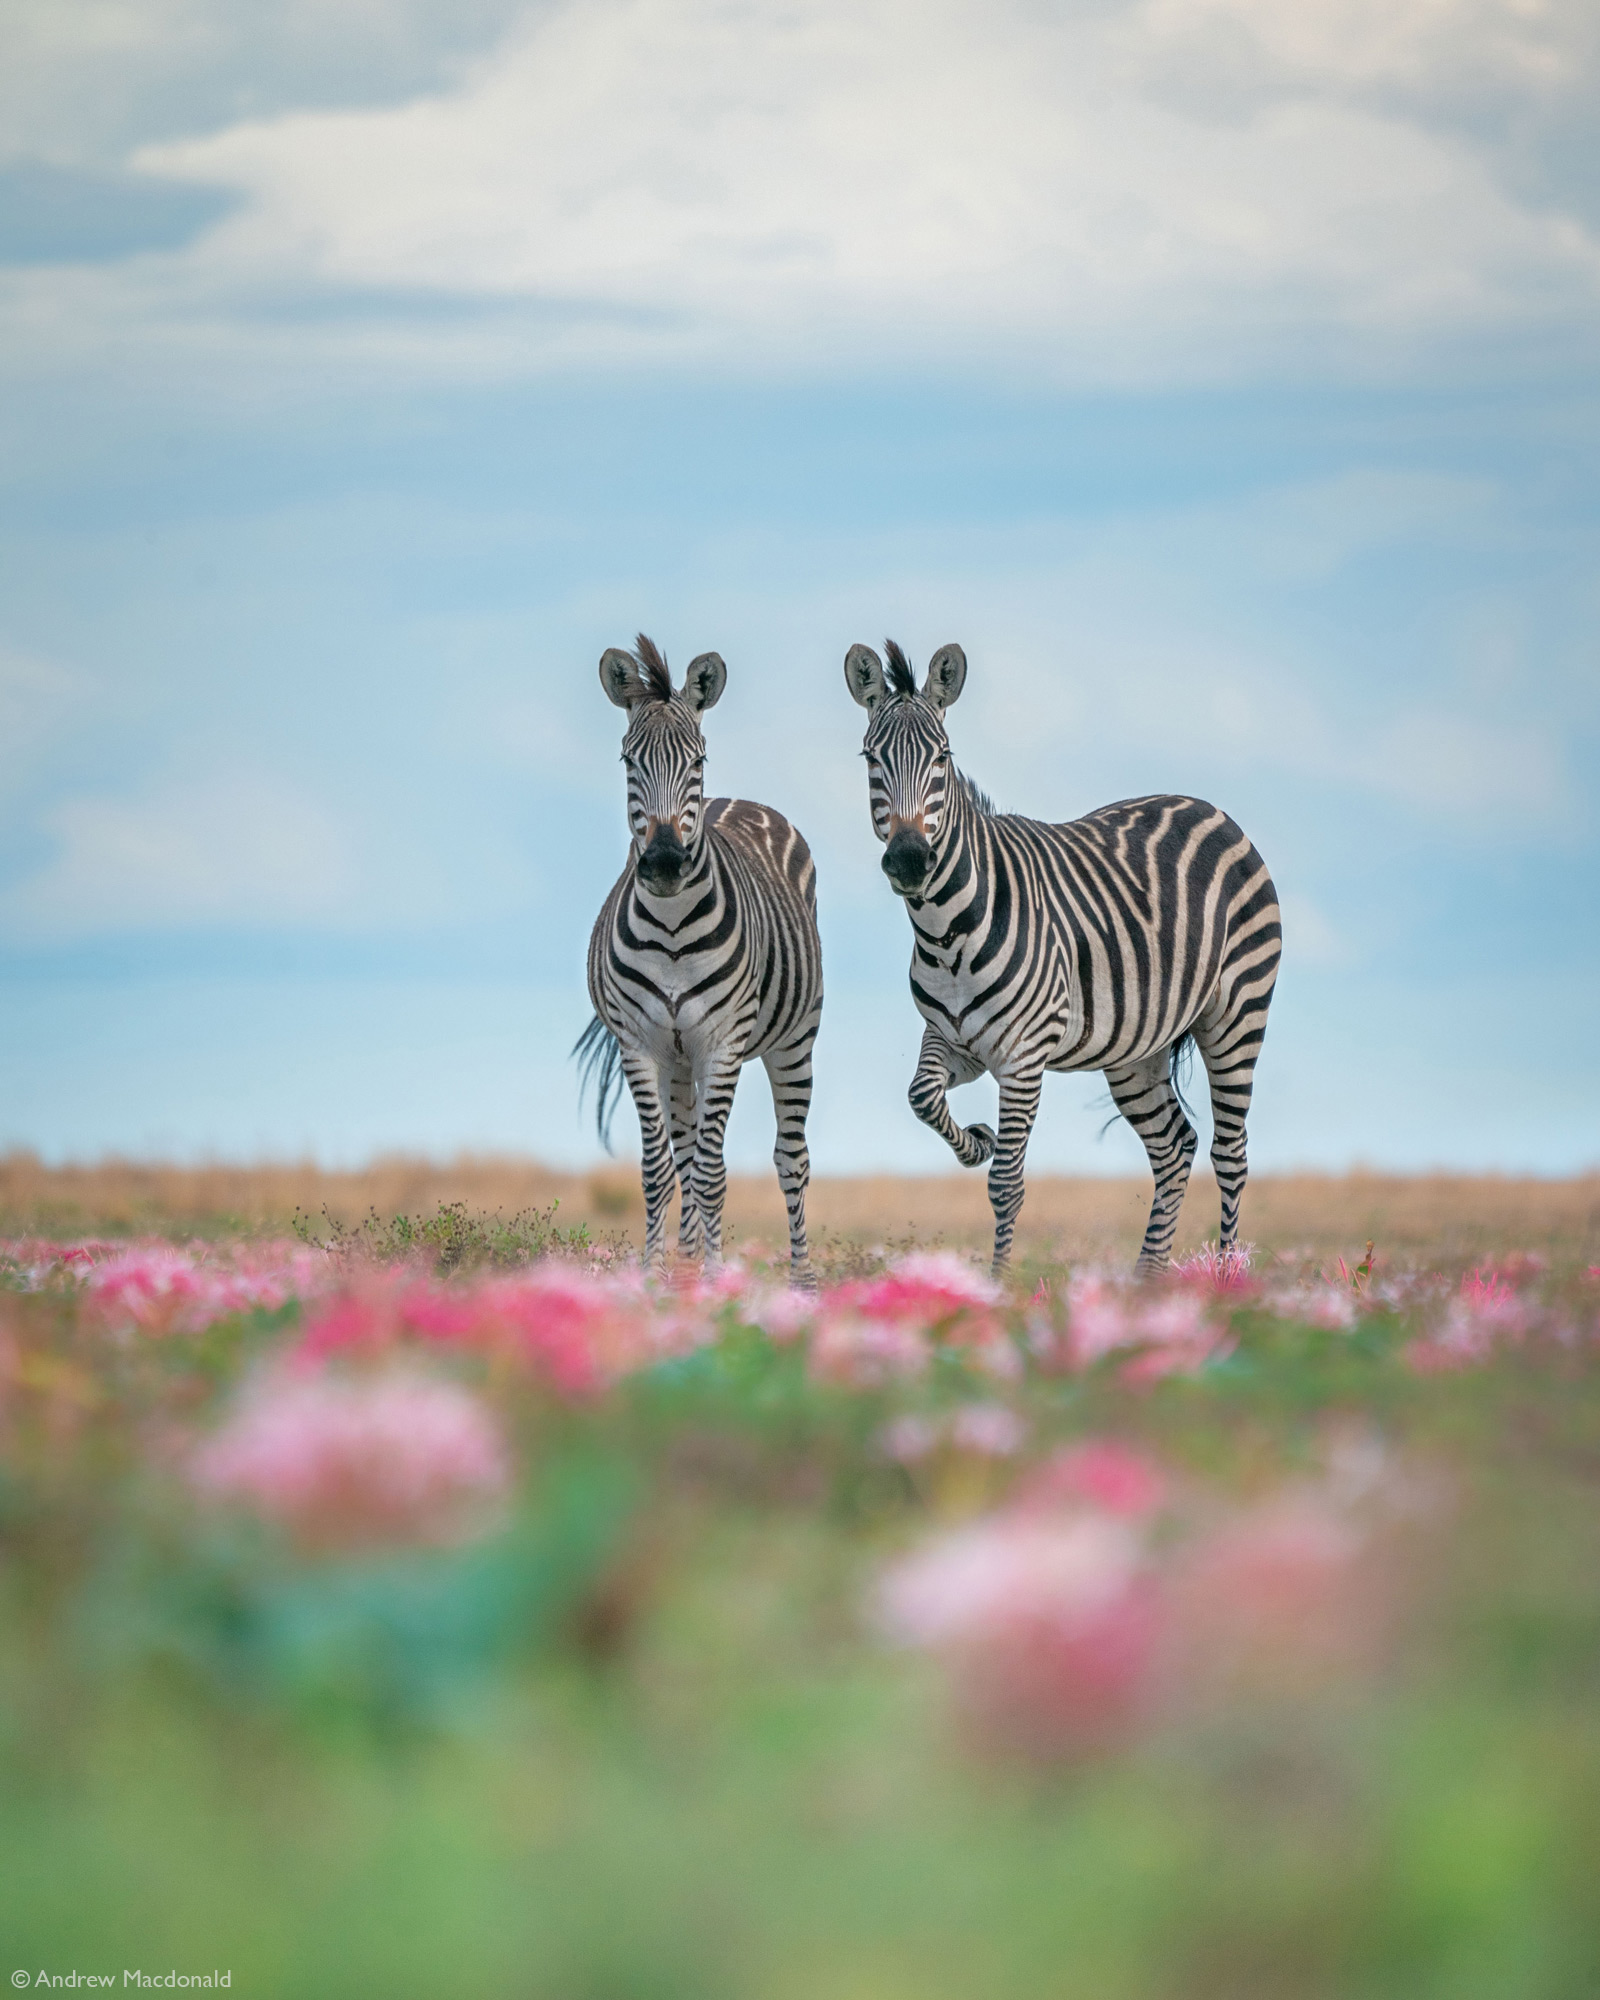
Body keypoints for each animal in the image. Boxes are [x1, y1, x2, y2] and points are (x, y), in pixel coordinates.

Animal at [580, 636, 824, 1280]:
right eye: (628, 761)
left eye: (698, 760)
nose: (665, 861)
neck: (671, 930)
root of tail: (736, 799)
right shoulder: (639, 1046)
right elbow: (660, 1171)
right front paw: (656, 1278)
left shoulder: (722, 1043)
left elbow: (713, 1173)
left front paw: (715, 1283)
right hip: (677, 1058)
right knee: (686, 1155)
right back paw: (687, 1261)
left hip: (794, 1040)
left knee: (791, 1159)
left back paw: (801, 1281)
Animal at [844, 632, 1280, 1272]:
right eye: (870, 760)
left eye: (943, 758)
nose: (908, 859)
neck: (944, 933)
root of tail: (1208, 808)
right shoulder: (952, 1039)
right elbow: (921, 1096)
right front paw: (976, 1142)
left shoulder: (1024, 1056)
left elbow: (1007, 1184)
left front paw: (1000, 1285)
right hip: (1137, 1048)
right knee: (1175, 1147)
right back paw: (1147, 1281)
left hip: (1237, 1014)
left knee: (1230, 1153)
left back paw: (1224, 1279)